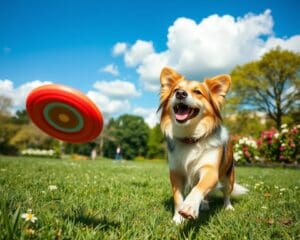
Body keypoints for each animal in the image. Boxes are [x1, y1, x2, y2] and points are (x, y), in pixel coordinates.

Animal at [158, 66, 247, 224]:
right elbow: (178, 197)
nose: (180, 94)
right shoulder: (176, 173)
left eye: (197, 92)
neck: (190, 138)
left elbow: (198, 189)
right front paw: (177, 219)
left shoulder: (210, 170)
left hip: (228, 177)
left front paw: (189, 207)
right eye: (176, 90)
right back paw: (204, 205)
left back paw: (228, 207)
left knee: (226, 193)